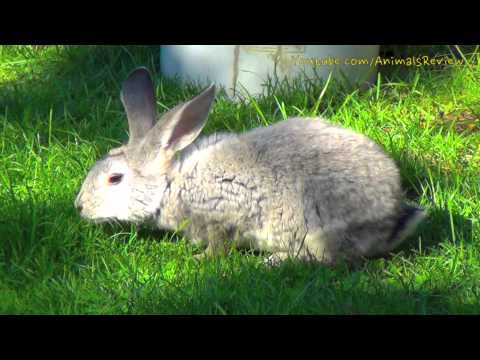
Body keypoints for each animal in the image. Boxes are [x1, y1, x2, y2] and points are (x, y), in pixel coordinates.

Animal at [76, 67, 428, 264]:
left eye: (114, 179)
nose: (79, 207)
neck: (170, 185)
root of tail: (391, 218)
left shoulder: (222, 214)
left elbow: (219, 245)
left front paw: (201, 258)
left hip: (318, 230)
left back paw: (273, 261)